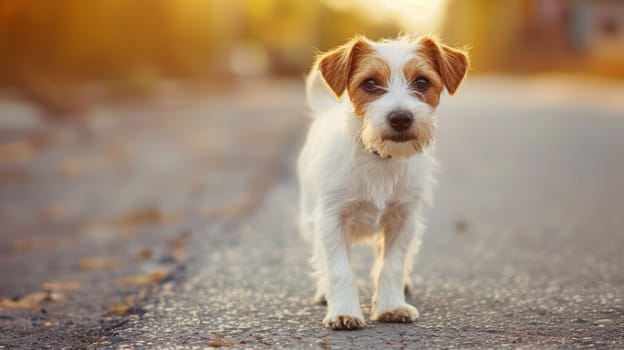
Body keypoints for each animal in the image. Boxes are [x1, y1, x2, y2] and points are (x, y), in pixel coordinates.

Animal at [298, 34, 468, 330]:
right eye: (370, 83)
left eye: (421, 82)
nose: (400, 118)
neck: (379, 159)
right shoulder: (331, 220)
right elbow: (340, 269)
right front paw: (344, 311)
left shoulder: (404, 220)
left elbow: (392, 265)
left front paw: (391, 307)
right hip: (311, 218)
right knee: (321, 256)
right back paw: (324, 291)